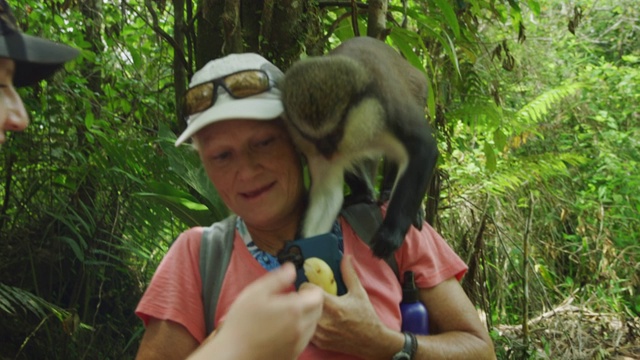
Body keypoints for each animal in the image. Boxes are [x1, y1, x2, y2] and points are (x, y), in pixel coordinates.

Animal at [282, 36, 440, 258]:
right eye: (312, 138)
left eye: (334, 134)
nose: (327, 152)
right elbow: (326, 194)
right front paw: (298, 253)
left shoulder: (389, 108)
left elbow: (423, 149)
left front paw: (391, 234)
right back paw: (363, 194)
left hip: (420, 94)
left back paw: (391, 194)